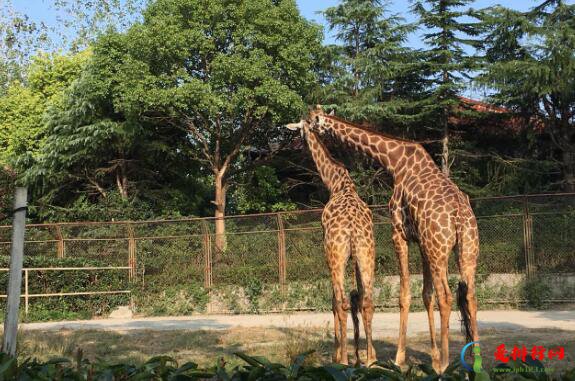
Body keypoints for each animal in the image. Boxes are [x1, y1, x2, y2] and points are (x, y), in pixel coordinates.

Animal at [286, 117, 378, 364]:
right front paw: (361, 354)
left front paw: (339, 353)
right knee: (366, 300)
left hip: (335, 255)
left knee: (341, 301)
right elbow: (358, 298)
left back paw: (344, 359)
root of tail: (353, 229)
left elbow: (334, 300)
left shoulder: (329, 253)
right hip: (367, 254)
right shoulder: (356, 258)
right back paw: (370, 360)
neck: (338, 184)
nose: (297, 144)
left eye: (298, 130)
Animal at [302, 105, 482, 372]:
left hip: (438, 249)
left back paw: (445, 365)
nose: (310, 131)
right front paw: (432, 357)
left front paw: (400, 358)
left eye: (313, 121)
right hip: (467, 248)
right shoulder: (420, 241)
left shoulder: (399, 232)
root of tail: (459, 217)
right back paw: (475, 361)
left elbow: (404, 295)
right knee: (469, 295)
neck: (394, 161)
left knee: (446, 297)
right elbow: (425, 295)